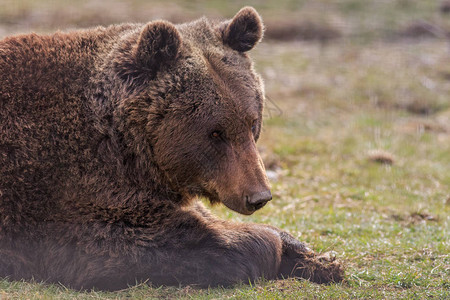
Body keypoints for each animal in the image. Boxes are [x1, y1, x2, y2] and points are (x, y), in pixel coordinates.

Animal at [0, 6, 342, 288]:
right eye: (215, 132)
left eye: (252, 123)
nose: (259, 196)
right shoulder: (66, 188)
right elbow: (139, 240)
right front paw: (268, 243)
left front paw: (320, 259)